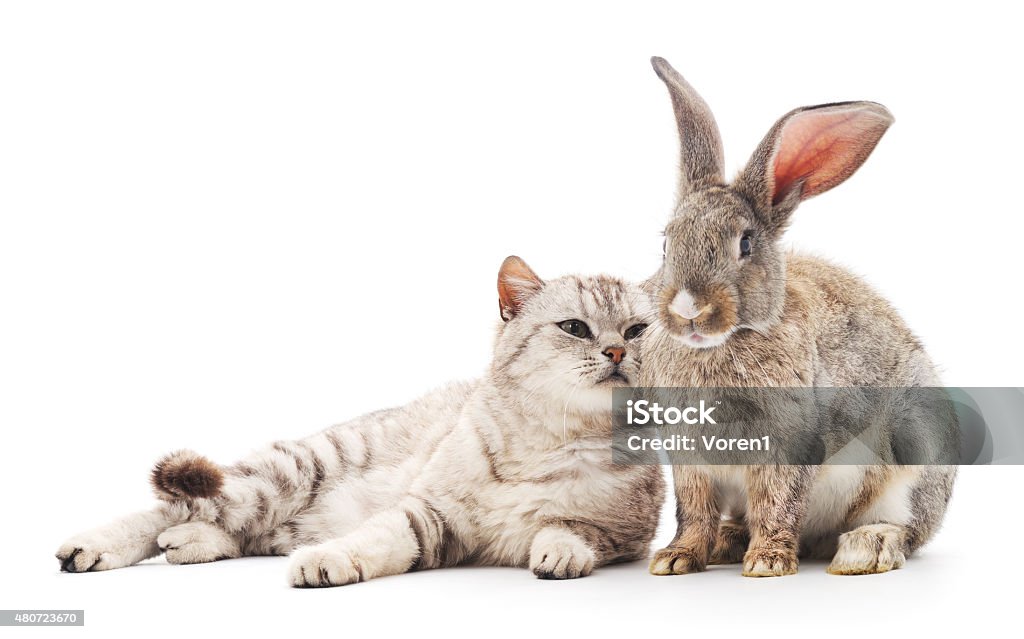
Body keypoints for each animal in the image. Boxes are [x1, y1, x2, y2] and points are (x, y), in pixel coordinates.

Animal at [56, 257, 663, 585]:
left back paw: (195, 542)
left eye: (636, 331)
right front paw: (330, 561)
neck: (549, 439)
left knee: (234, 529)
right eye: (575, 327)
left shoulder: (628, 535)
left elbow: (573, 528)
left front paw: (557, 548)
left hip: (280, 514)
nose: (617, 352)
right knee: (178, 506)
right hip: (293, 470)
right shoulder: (431, 514)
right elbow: (379, 538)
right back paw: (95, 545)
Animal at [643, 54, 954, 577]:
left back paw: (864, 548)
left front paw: (767, 563)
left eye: (746, 244)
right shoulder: (689, 459)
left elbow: (777, 502)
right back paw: (729, 541)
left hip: (913, 456)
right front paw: (676, 558)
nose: (688, 309)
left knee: (907, 529)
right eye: (666, 243)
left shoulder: (786, 445)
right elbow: (694, 512)